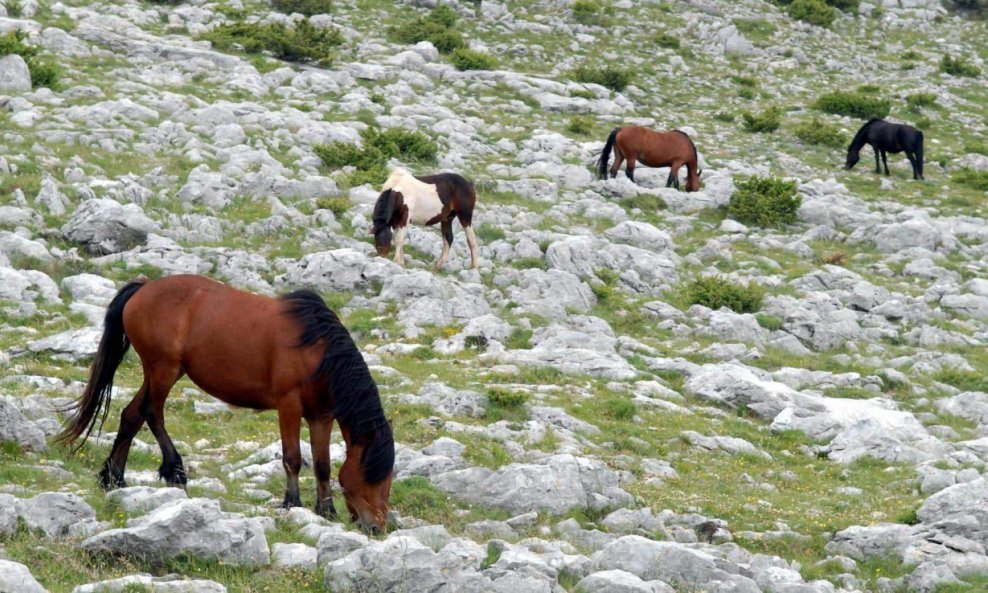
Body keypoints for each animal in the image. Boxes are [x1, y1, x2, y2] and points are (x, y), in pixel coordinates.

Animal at [57, 274, 394, 532]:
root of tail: (145, 286)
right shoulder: (289, 406)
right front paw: (292, 503)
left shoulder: (320, 415)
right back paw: (174, 469)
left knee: (132, 415)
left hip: (161, 372)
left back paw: (113, 477)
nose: (376, 527)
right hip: (163, 370)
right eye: (372, 474)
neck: (318, 350)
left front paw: (326, 511)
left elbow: (323, 465)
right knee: (152, 413)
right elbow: (293, 458)